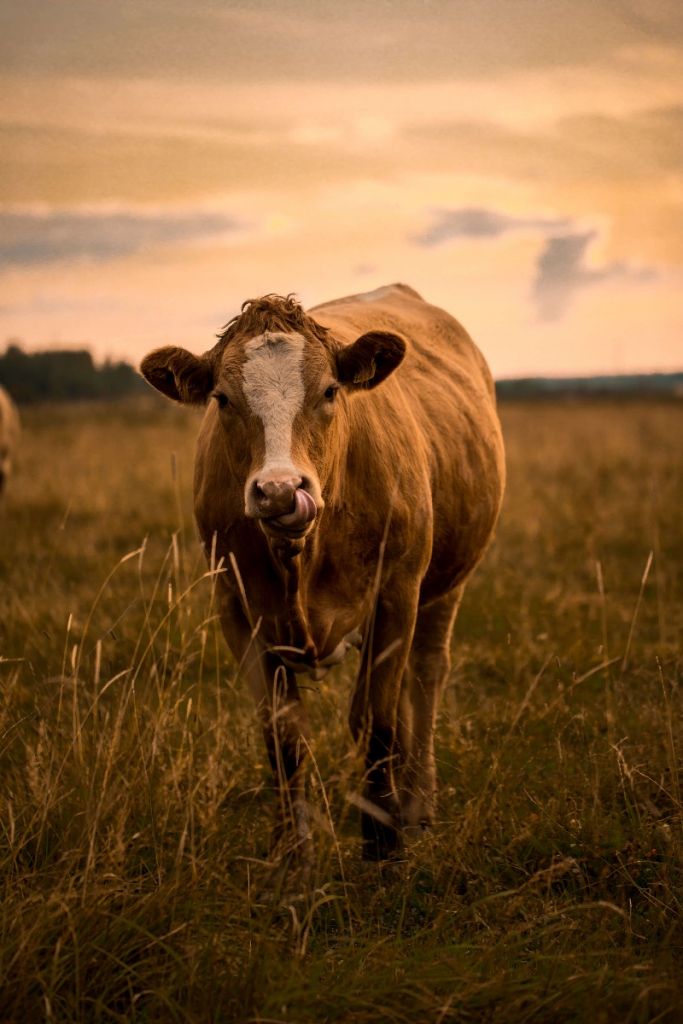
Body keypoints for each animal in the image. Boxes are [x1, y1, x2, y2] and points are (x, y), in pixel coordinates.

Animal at [141, 284, 505, 860]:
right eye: (222, 398)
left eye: (331, 390)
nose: (280, 490)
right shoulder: (236, 609)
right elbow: (284, 735)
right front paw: (293, 852)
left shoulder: (396, 592)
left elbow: (377, 722)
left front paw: (382, 843)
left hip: (443, 588)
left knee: (425, 677)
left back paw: (417, 805)